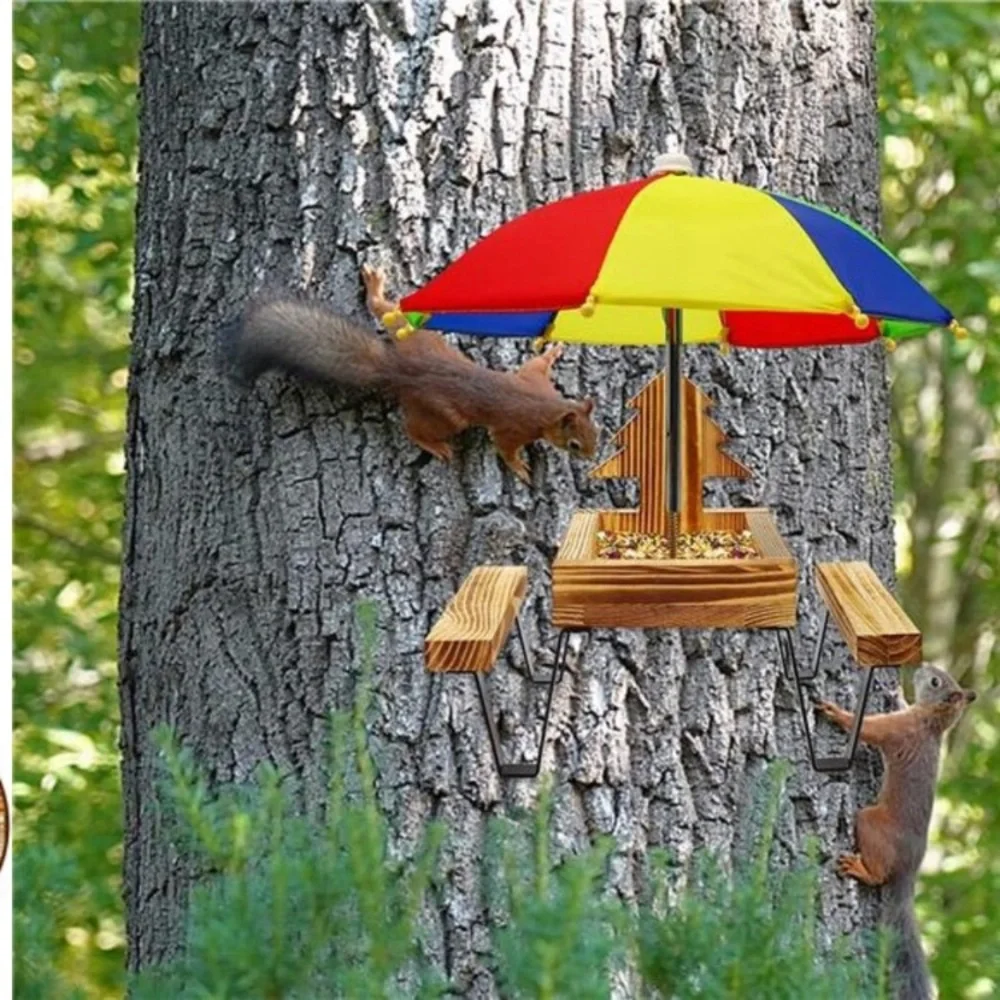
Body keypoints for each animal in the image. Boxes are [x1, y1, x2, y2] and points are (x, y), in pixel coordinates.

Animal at [220, 266, 599, 483]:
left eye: (596, 432)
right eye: (575, 444)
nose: (590, 457)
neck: (547, 407)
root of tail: (398, 370)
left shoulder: (533, 379)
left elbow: (536, 364)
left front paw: (553, 349)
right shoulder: (514, 427)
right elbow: (504, 447)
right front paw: (519, 468)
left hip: (417, 335)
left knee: (382, 309)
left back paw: (375, 286)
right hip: (444, 414)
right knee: (412, 428)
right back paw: (434, 446)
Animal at [818, 664, 976, 1000]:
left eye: (935, 681)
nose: (923, 665)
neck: (930, 721)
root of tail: (909, 868)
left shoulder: (898, 729)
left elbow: (869, 728)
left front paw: (836, 713)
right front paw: (896, 694)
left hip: (871, 822)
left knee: (879, 873)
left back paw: (860, 869)